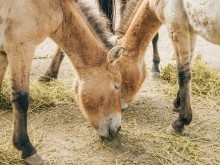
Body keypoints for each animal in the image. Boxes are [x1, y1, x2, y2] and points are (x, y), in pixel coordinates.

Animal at [0, 0, 124, 164]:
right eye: (116, 85)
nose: (118, 129)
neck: (52, 6)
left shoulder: (3, 52)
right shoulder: (21, 48)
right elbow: (21, 100)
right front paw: (27, 149)